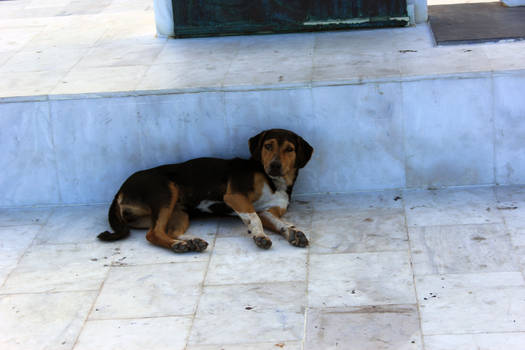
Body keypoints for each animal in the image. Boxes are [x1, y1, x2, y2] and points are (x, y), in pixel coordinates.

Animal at [96, 129, 314, 252]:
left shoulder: (268, 211)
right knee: (153, 234)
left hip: (179, 212)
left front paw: (292, 232)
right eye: (268, 146)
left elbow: (280, 223)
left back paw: (192, 242)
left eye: (289, 149)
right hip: (165, 192)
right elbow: (254, 219)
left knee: (168, 230)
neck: (274, 181)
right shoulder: (236, 196)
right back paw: (178, 245)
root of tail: (119, 191)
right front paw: (260, 236)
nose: (275, 166)